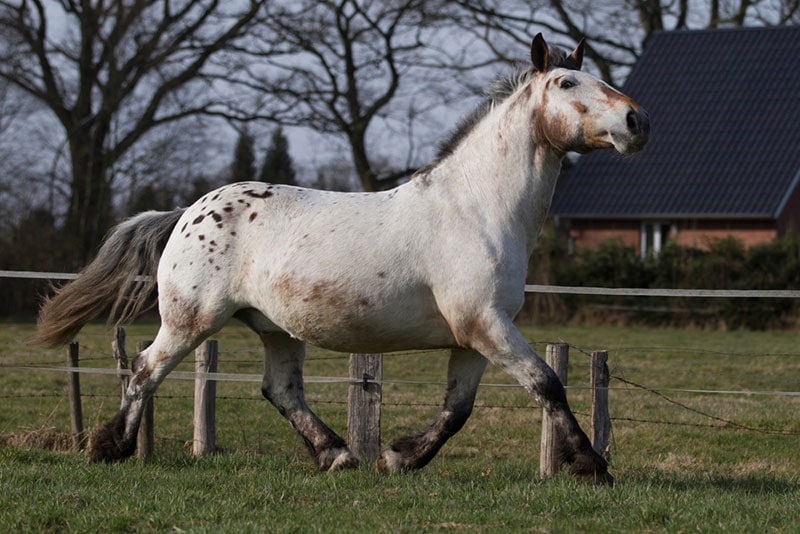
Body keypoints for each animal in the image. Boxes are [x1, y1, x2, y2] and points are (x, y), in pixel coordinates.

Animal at [36, 33, 648, 486]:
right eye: (567, 82)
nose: (636, 122)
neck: (478, 207)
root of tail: (188, 211)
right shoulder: (486, 325)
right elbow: (547, 384)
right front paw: (593, 467)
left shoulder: (472, 335)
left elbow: (457, 409)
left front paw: (398, 457)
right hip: (191, 319)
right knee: (145, 368)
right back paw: (109, 446)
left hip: (276, 329)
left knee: (280, 390)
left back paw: (337, 455)